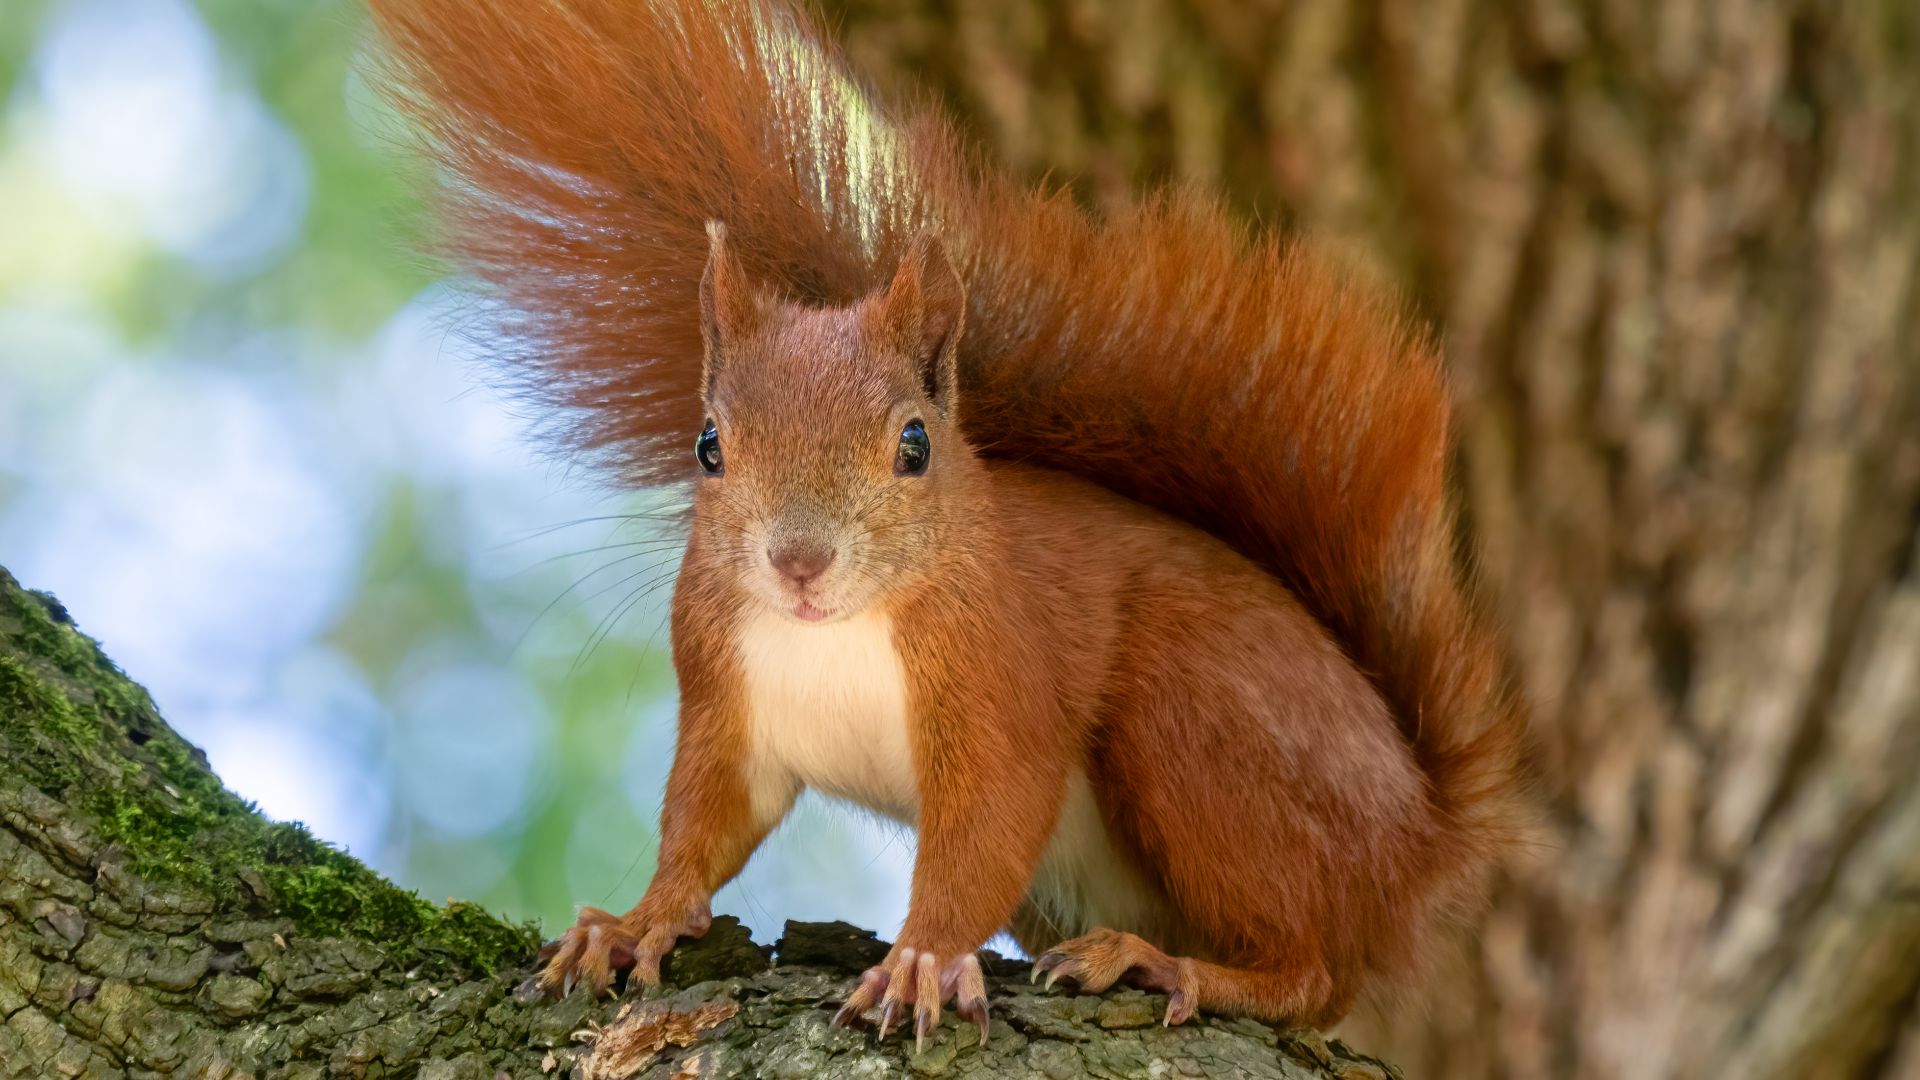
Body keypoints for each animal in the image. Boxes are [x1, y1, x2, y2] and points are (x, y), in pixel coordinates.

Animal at [371, 0, 1528, 1045]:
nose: (798, 563)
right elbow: (705, 823)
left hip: (1200, 726)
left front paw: (921, 958)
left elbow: (986, 824)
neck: (833, 632)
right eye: (707, 447)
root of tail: (1418, 837)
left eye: (916, 445)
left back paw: (1163, 964)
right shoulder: (725, 696)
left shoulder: (1001, 676)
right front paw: (632, 922)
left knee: (1316, 976)